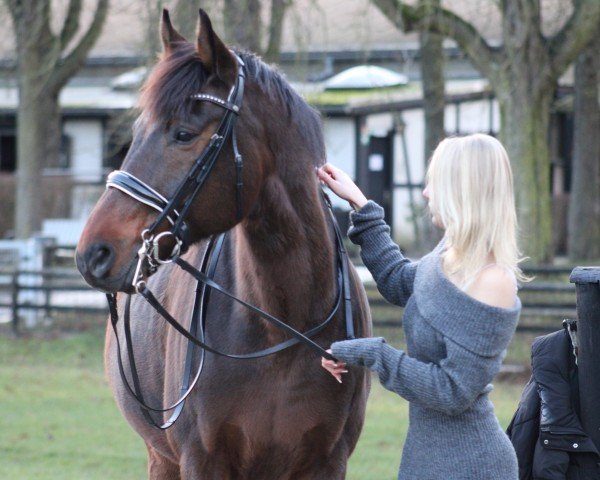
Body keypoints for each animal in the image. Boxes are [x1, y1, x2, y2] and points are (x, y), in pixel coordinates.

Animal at [75, 7, 370, 480]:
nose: (93, 253)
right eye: (135, 132)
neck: (282, 326)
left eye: (183, 134)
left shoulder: (328, 461)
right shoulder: (202, 460)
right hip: (161, 457)